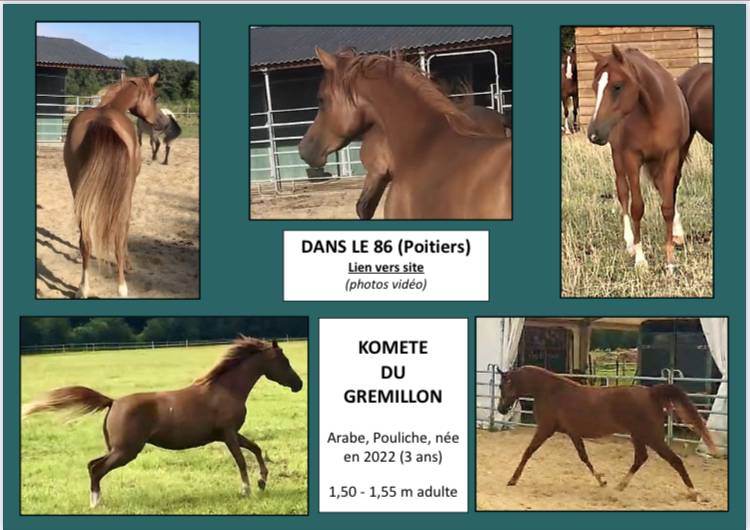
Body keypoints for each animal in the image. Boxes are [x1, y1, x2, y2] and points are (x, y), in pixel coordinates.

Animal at [22, 337, 303, 508]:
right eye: (285, 361)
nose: (298, 384)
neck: (225, 389)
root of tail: (113, 402)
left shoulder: (228, 434)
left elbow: (255, 448)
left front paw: (263, 482)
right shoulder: (229, 434)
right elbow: (242, 460)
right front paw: (247, 490)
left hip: (119, 449)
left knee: (93, 465)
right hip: (126, 450)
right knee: (96, 468)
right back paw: (96, 503)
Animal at [64, 74, 170, 298]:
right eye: (155, 97)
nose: (164, 123)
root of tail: (100, 122)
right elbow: (125, 229)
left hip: (78, 191)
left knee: (85, 240)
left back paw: (83, 287)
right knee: (119, 236)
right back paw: (122, 286)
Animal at [496, 366, 716, 500]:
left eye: (502, 385)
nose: (501, 409)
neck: (550, 391)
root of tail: (651, 393)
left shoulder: (545, 429)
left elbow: (528, 452)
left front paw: (512, 480)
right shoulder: (573, 433)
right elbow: (584, 457)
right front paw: (602, 481)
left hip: (651, 437)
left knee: (674, 460)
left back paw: (695, 493)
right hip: (639, 436)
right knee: (641, 458)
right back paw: (620, 486)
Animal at [587, 45, 690, 272]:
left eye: (617, 86)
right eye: (594, 87)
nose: (593, 134)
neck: (653, 112)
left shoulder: (670, 156)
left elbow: (667, 206)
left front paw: (670, 261)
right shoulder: (632, 158)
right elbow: (636, 207)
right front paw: (641, 260)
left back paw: (677, 233)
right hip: (618, 159)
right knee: (623, 193)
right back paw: (629, 244)